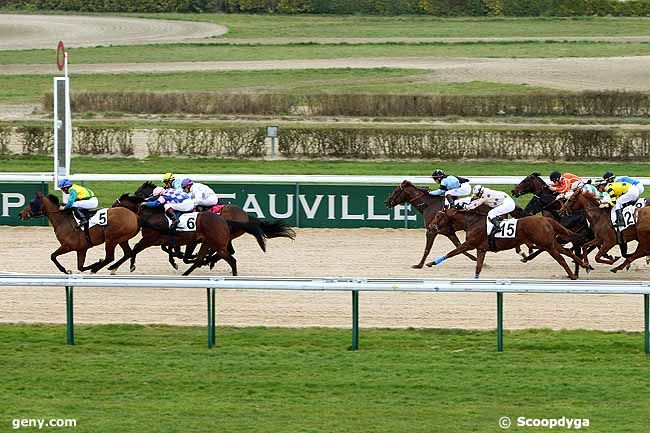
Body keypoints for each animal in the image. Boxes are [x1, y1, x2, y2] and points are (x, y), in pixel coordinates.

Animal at [428, 207, 584, 280]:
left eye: (438, 216)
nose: (430, 226)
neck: (471, 222)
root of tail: (546, 219)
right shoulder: (481, 249)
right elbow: (478, 266)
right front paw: (476, 279)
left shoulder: (470, 244)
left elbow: (452, 252)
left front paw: (431, 263)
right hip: (550, 243)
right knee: (567, 252)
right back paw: (584, 265)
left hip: (547, 245)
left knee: (561, 258)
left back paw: (573, 275)